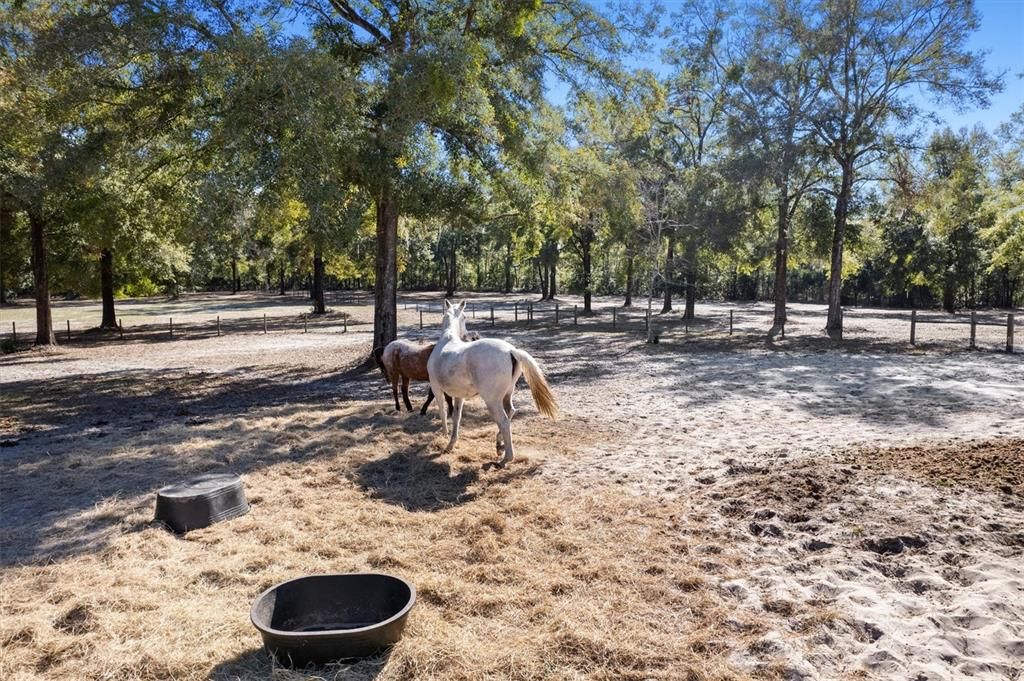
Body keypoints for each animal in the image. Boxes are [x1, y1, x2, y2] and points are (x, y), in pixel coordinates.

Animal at [425, 301, 561, 464]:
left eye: (464, 316)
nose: (466, 335)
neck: (446, 341)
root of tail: (511, 351)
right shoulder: (459, 396)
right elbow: (456, 417)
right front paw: (451, 443)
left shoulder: (436, 389)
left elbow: (443, 413)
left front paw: (444, 436)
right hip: (506, 395)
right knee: (510, 412)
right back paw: (499, 444)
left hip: (492, 400)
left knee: (503, 421)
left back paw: (505, 459)